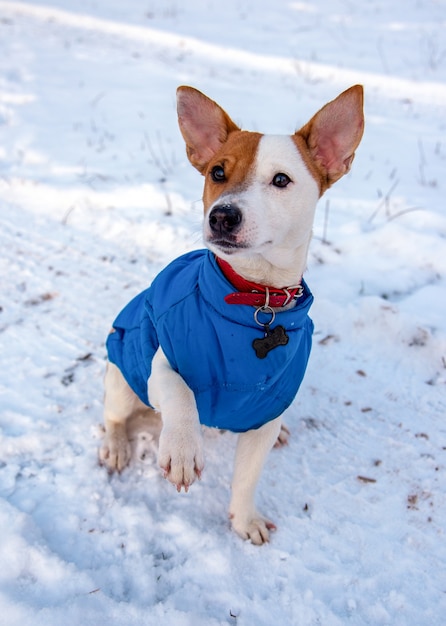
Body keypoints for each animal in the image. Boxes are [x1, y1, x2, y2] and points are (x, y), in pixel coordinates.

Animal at [99, 85, 364, 544]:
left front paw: (244, 520)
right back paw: (117, 444)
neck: (255, 298)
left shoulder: (268, 407)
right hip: (121, 372)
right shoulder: (162, 362)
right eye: (217, 172)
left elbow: (247, 476)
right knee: (113, 414)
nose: (222, 215)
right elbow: (180, 392)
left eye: (281, 180)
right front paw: (182, 449)